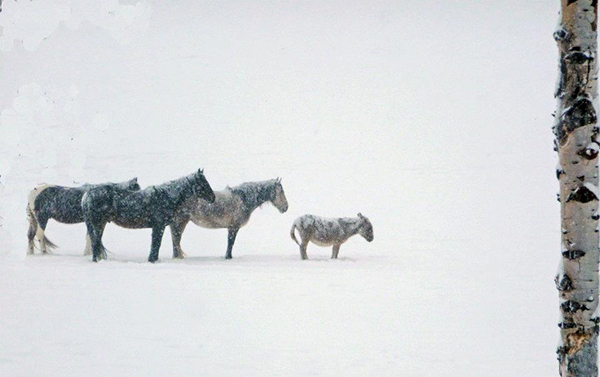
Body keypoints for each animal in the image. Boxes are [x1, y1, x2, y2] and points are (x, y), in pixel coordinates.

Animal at [82, 170, 216, 262]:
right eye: (203, 183)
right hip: (98, 224)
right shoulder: (159, 226)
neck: (166, 195)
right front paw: (152, 259)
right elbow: (156, 244)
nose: (213, 198)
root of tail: (87, 195)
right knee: (95, 242)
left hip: (100, 224)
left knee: (96, 242)